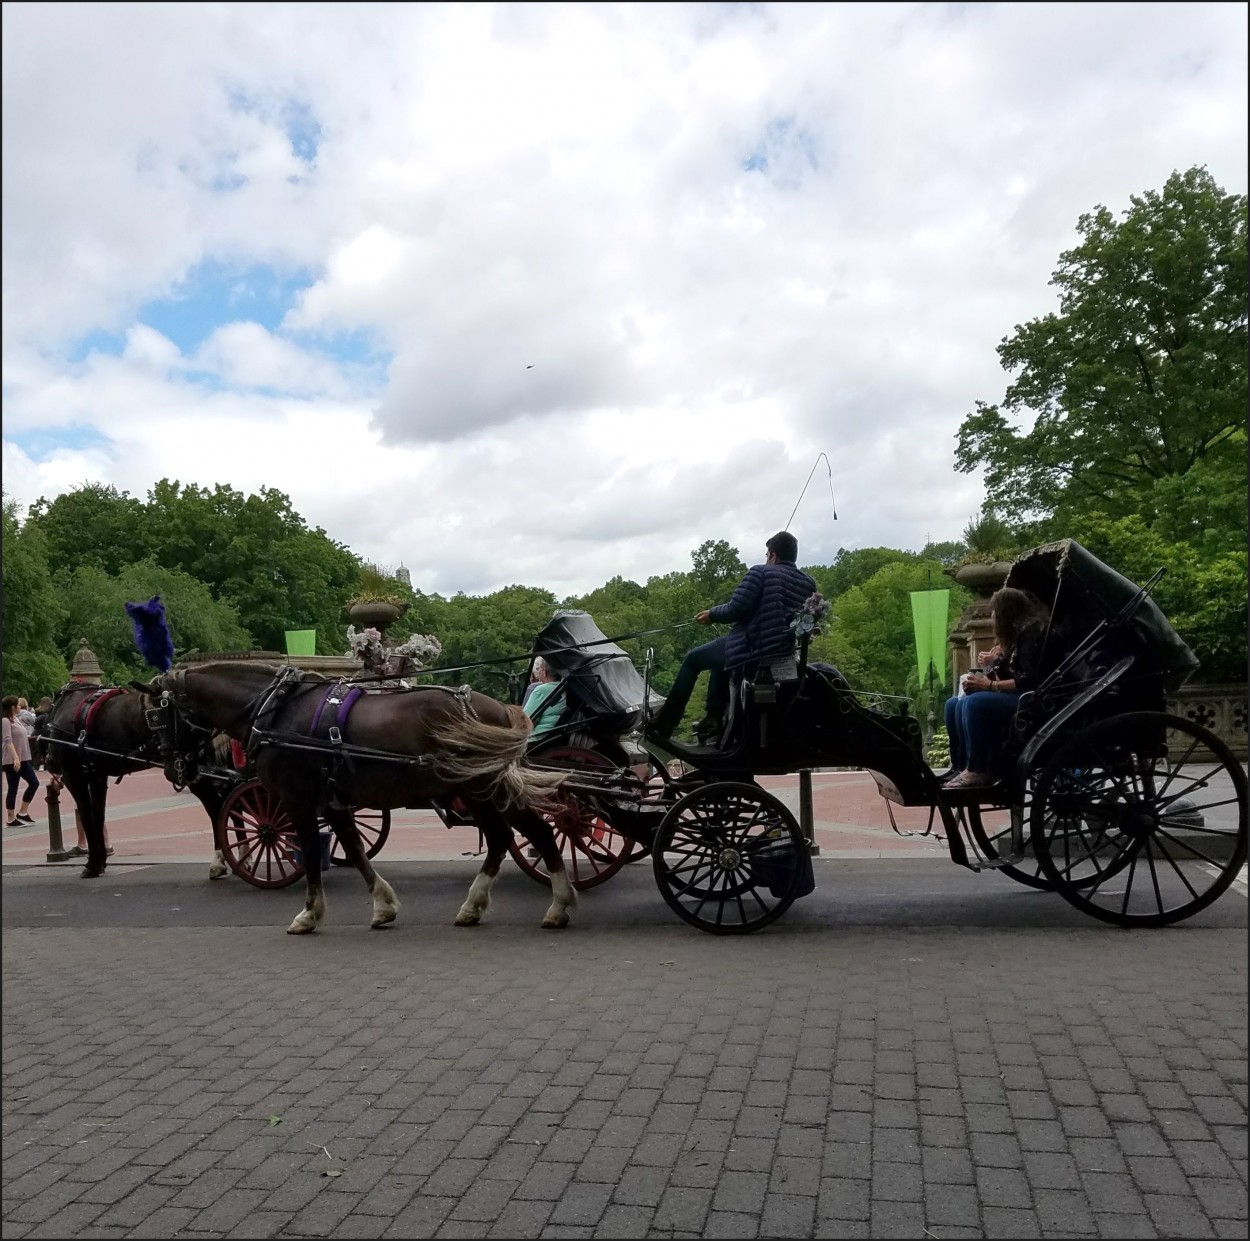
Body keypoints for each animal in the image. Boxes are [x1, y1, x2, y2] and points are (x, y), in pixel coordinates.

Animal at [37, 684, 236, 874]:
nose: (47, 761)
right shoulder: (96, 776)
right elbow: (98, 816)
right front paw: (100, 861)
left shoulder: (73, 775)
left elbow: (86, 816)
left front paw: (92, 864)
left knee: (216, 808)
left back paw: (220, 859)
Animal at [130, 664, 572, 934]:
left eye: (156, 716)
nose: (173, 769)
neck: (274, 711)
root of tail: (497, 707)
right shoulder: (335, 803)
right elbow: (356, 852)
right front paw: (383, 905)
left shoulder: (297, 803)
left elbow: (310, 855)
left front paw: (309, 913)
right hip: (475, 792)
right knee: (505, 838)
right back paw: (478, 906)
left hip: (482, 789)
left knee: (532, 833)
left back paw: (558, 903)